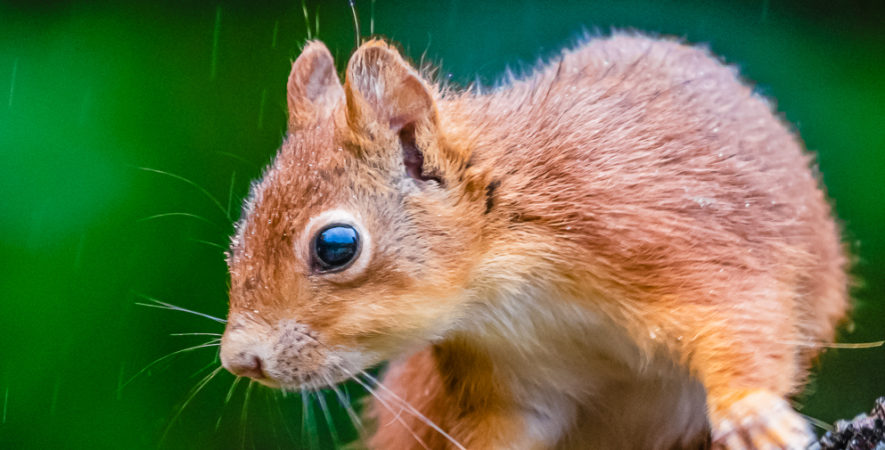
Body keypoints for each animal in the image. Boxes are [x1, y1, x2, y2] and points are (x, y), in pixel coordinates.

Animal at [216, 33, 848, 448]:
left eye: (336, 247)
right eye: (236, 240)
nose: (240, 360)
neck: (509, 282)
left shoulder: (675, 238)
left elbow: (746, 316)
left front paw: (753, 415)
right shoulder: (506, 378)